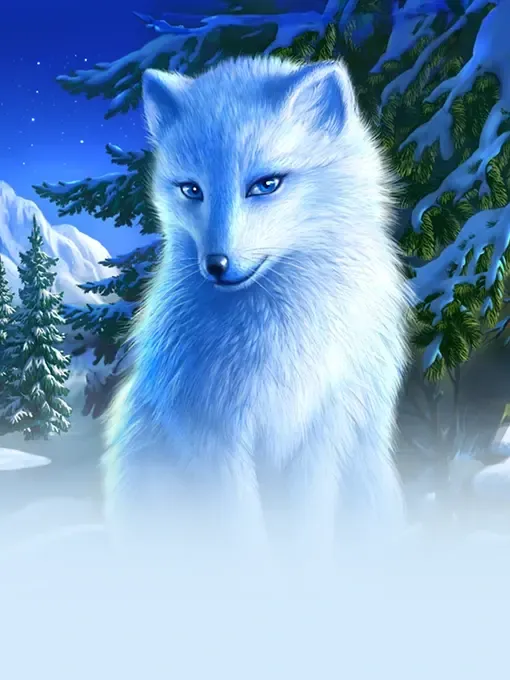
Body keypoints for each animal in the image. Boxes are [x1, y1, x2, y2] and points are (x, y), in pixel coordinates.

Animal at [103, 55, 411, 564]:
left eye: (266, 184)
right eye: (191, 189)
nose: (216, 264)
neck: (279, 333)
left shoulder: (326, 428)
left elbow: (306, 526)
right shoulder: (213, 431)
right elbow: (240, 530)